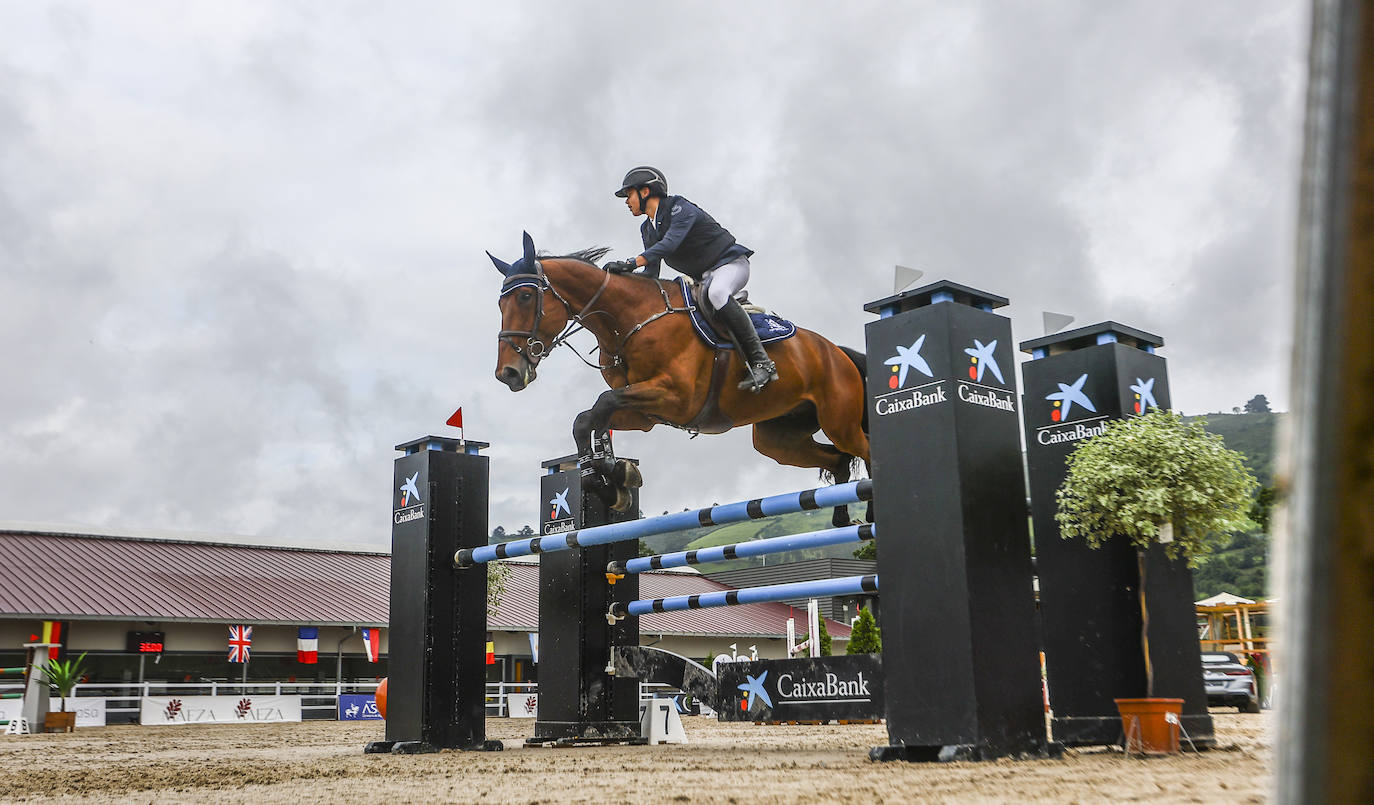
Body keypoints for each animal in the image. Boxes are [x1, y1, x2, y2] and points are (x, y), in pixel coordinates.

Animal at [489, 229, 868, 522]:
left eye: (526, 296)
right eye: (500, 305)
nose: (508, 373)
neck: (626, 320)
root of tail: (835, 351)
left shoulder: (676, 398)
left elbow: (602, 403)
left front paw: (614, 472)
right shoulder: (645, 414)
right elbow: (587, 419)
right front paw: (611, 479)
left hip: (840, 422)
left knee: (861, 450)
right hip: (779, 439)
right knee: (837, 459)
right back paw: (841, 515)